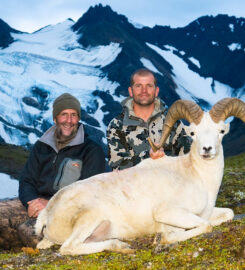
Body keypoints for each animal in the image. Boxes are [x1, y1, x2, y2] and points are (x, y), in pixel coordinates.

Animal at [35, 97, 245, 255]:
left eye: (221, 131)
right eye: (193, 133)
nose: (206, 150)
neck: (197, 176)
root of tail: (47, 212)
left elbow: (227, 214)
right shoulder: (168, 212)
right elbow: (206, 226)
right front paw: (163, 238)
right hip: (89, 218)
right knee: (68, 248)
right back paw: (122, 246)